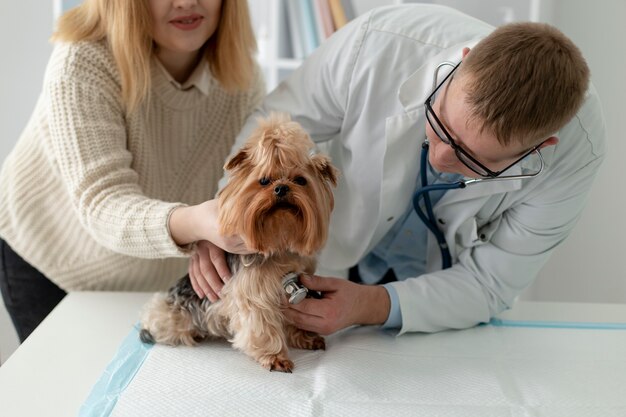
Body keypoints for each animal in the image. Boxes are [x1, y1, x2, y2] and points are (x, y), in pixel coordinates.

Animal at [140, 113, 336, 370]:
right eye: (264, 181)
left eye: (301, 181)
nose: (281, 188)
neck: (278, 239)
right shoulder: (254, 294)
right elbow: (261, 324)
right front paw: (275, 356)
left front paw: (305, 336)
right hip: (173, 313)